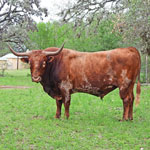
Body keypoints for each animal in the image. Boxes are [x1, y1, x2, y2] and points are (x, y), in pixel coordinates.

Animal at [8, 43, 141, 120]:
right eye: (30, 62)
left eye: (43, 62)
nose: (35, 78)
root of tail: (130, 49)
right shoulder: (57, 90)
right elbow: (58, 102)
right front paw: (57, 116)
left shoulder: (65, 87)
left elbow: (66, 102)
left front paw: (66, 117)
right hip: (130, 85)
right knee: (132, 99)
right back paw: (130, 118)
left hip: (124, 85)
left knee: (126, 100)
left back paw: (124, 118)